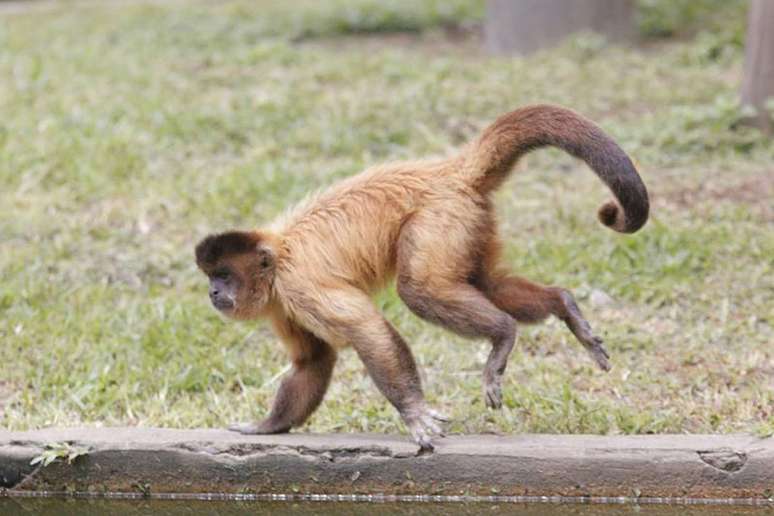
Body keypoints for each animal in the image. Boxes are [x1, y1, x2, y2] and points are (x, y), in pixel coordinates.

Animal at [194, 105, 648, 452]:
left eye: (224, 276)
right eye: (212, 277)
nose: (213, 291)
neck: (277, 256)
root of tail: (444, 171)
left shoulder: (298, 285)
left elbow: (369, 332)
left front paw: (412, 412)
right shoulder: (281, 304)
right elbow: (314, 361)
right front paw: (267, 427)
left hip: (438, 218)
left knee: (419, 291)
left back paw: (503, 333)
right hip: (469, 220)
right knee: (486, 283)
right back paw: (561, 303)